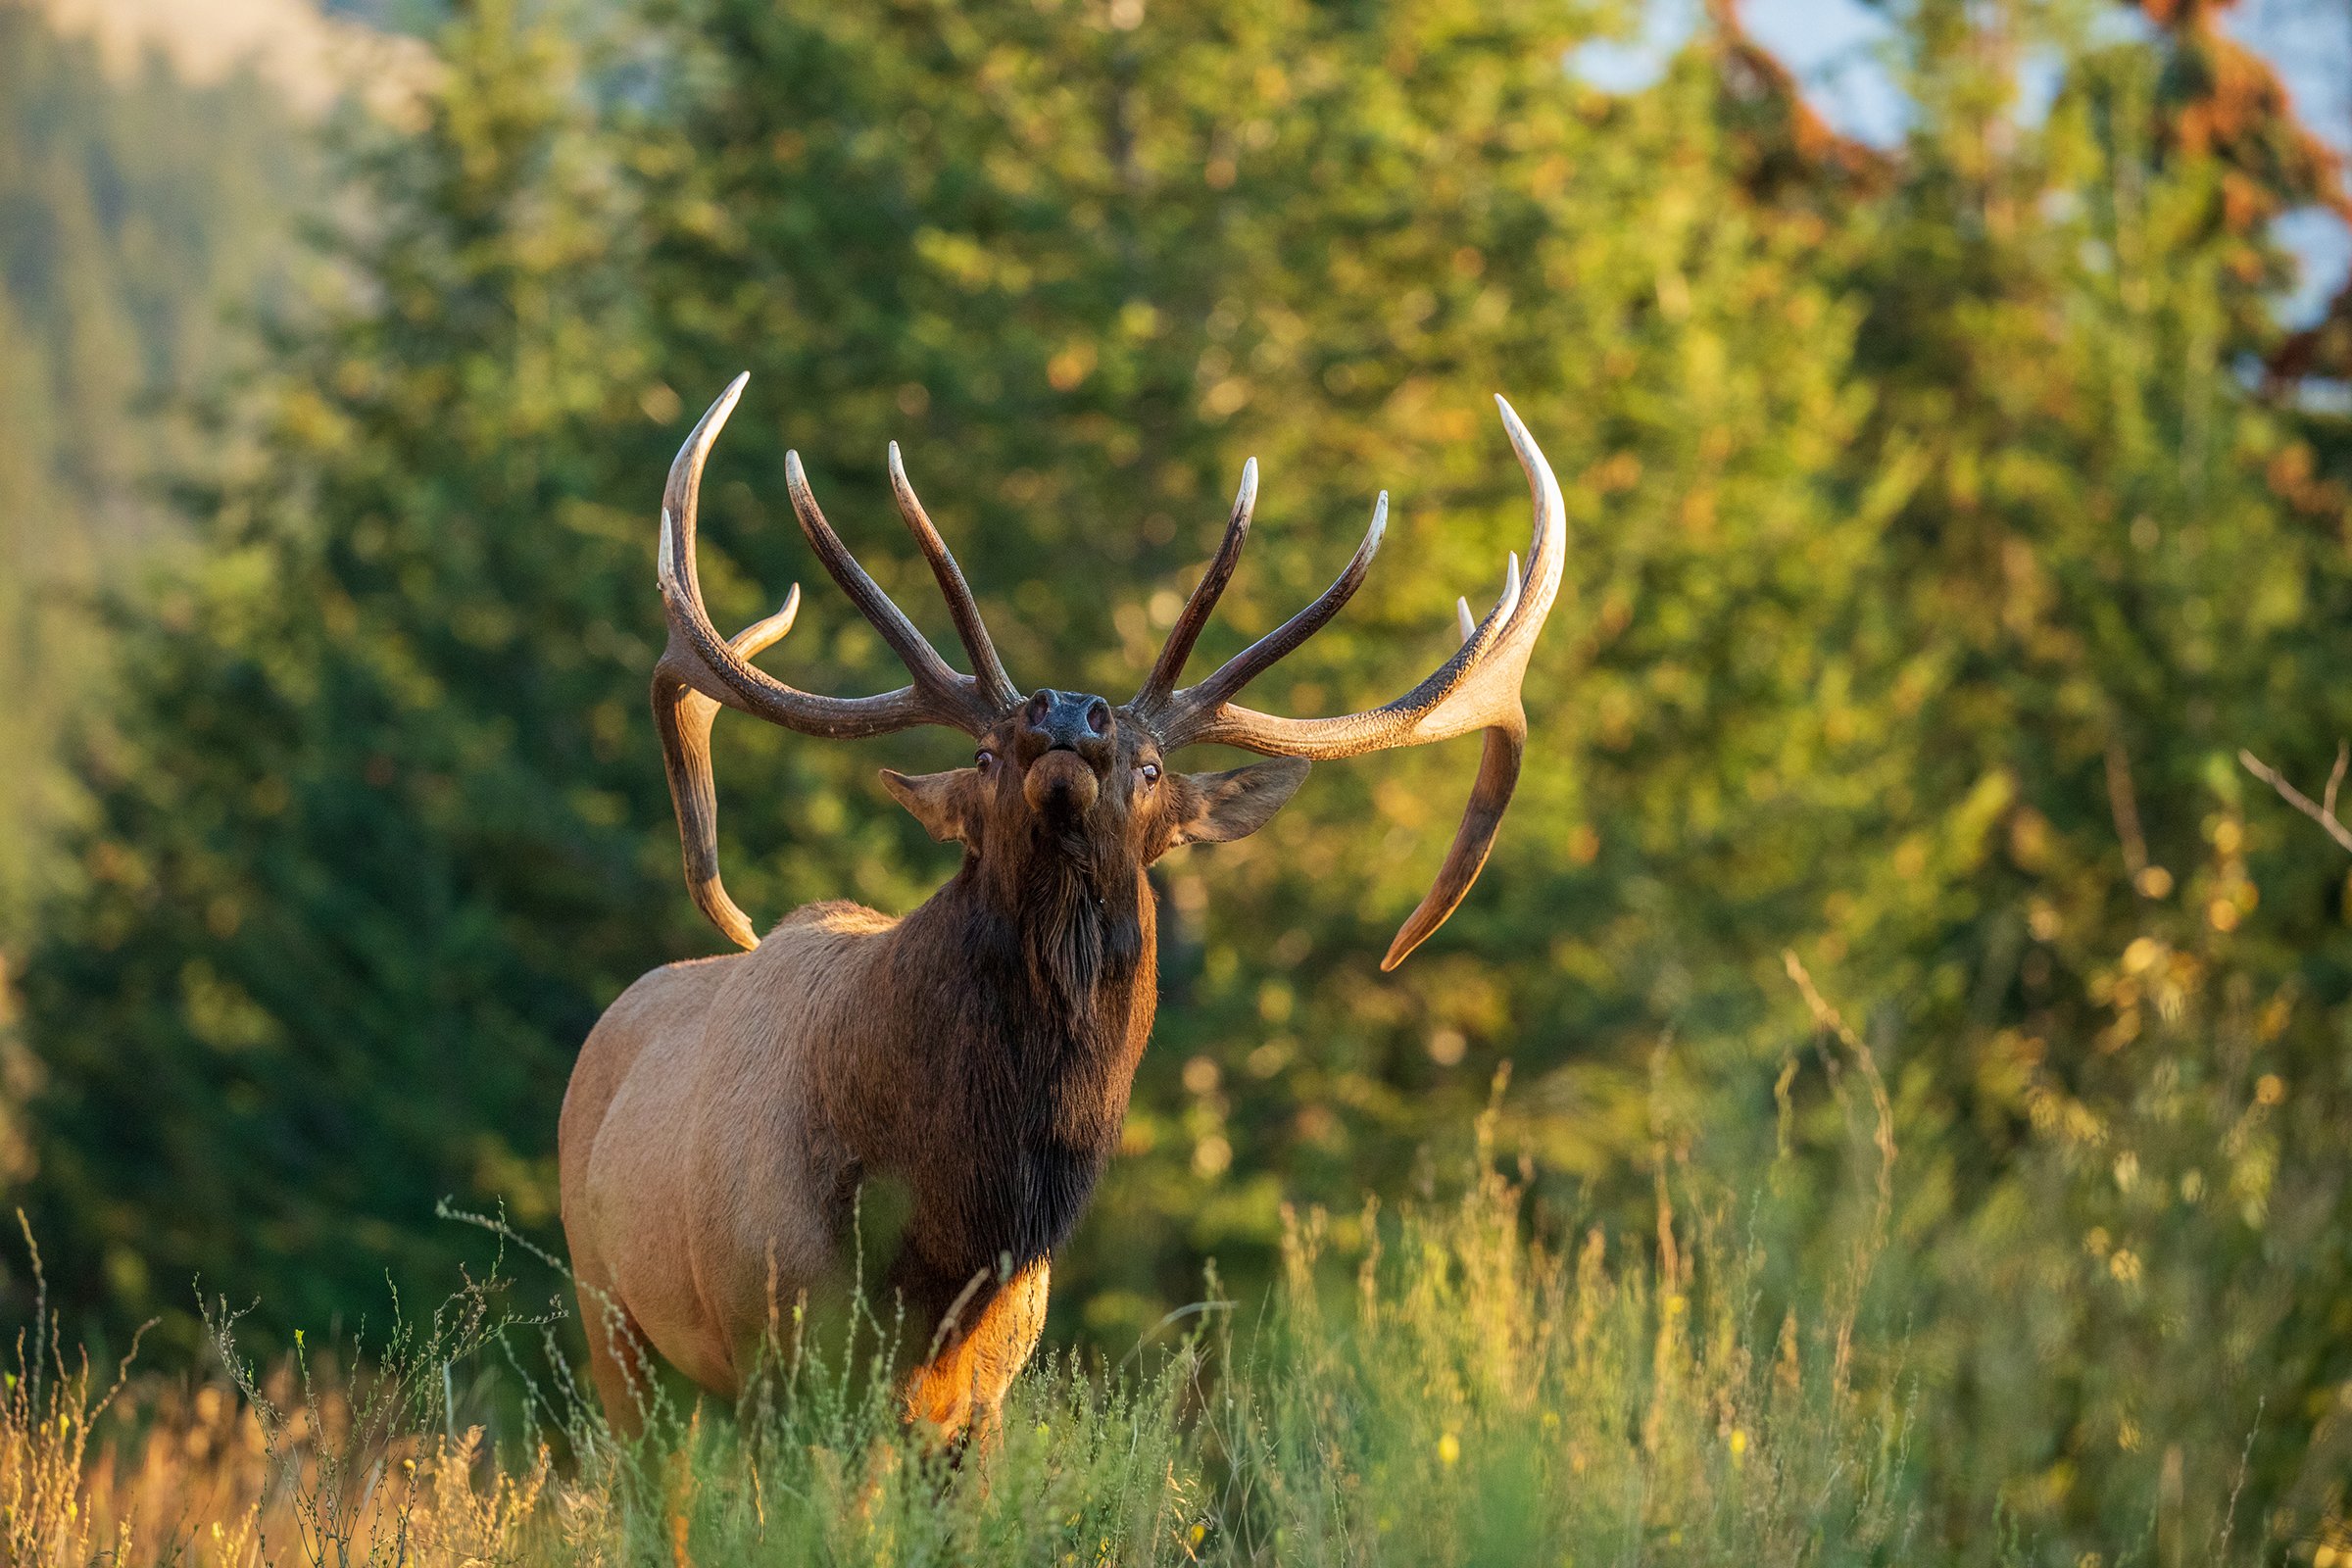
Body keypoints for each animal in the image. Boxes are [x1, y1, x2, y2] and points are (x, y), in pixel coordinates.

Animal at [558, 373, 1565, 1441]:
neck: (943, 1246)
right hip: (616, 1327)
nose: (1069, 712)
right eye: (984, 755)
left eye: (1152, 767)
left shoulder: (983, 1392)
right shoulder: (778, 1355)